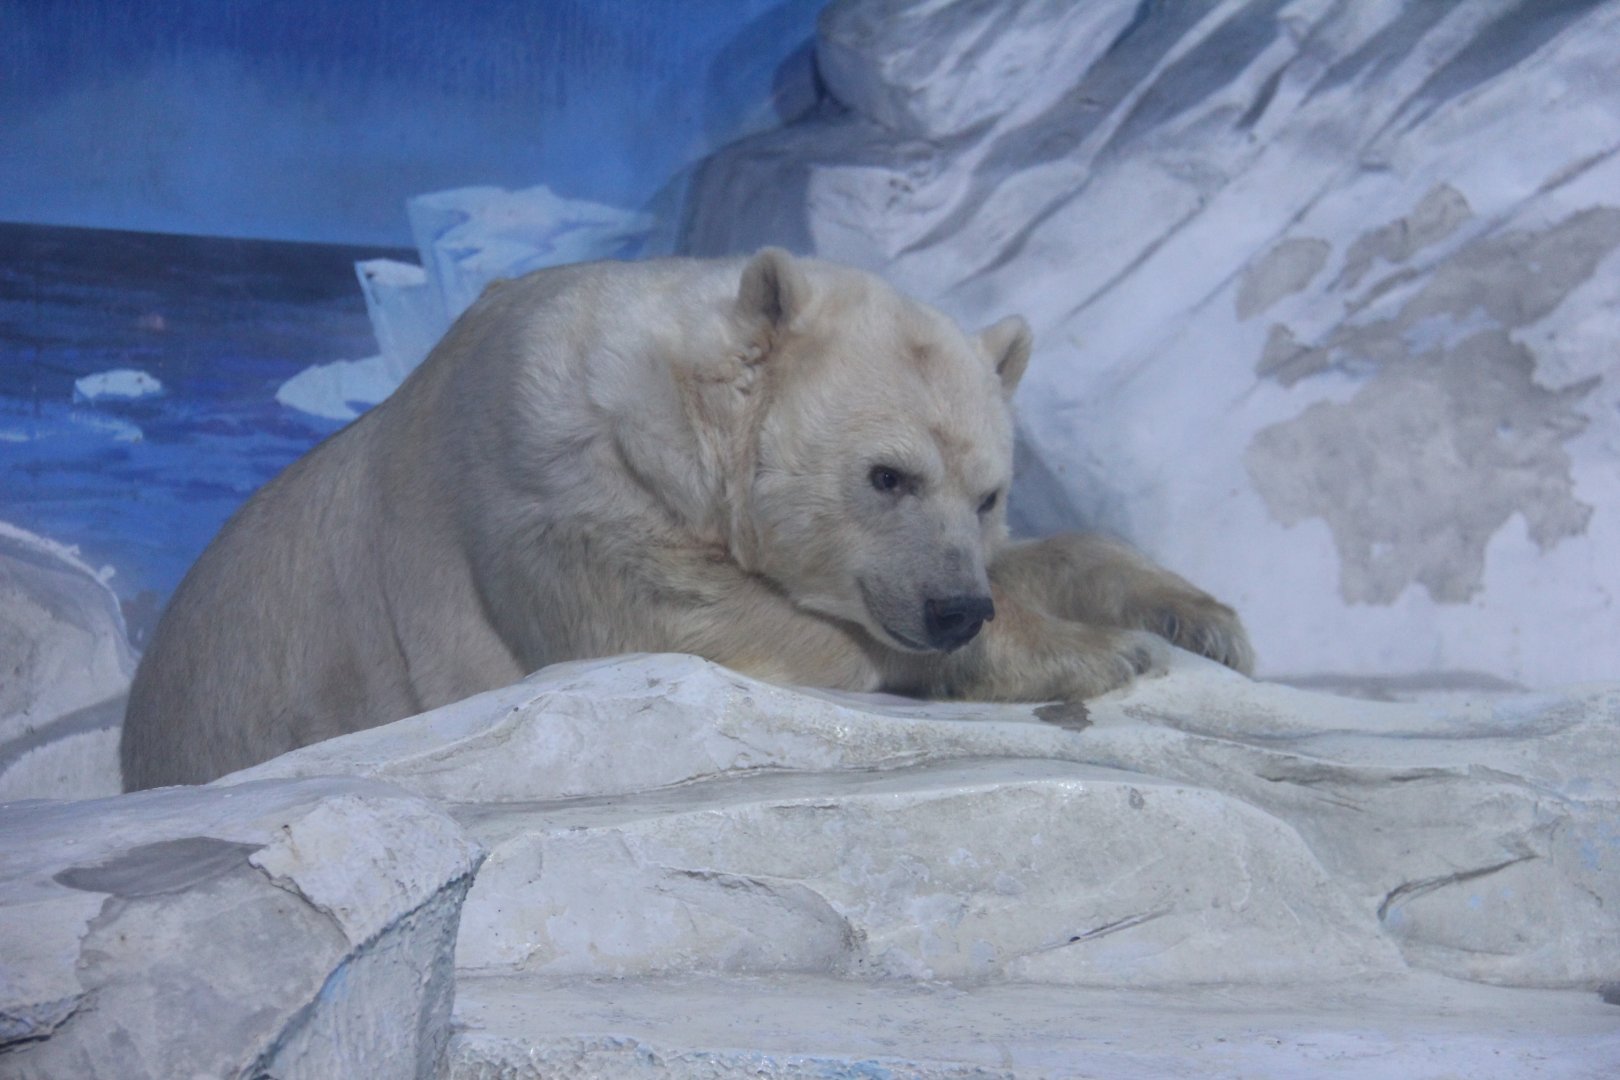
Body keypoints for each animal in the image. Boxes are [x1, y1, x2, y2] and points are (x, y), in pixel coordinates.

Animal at [120, 249, 1251, 790]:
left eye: (988, 492)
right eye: (887, 475)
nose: (952, 609)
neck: (660, 404)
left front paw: (1199, 618)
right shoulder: (548, 481)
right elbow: (697, 616)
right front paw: (1092, 652)